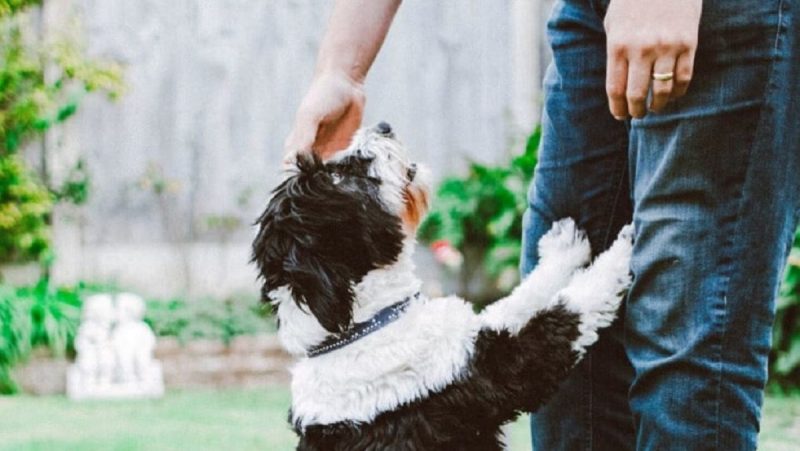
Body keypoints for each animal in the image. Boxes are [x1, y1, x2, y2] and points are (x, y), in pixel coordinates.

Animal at [253, 123, 636, 451]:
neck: (365, 326)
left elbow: (518, 299)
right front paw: (626, 244)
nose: (383, 125)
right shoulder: (502, 370)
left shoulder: (474, 338)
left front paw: (563, 248)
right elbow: (570, 310)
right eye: (341, 175)